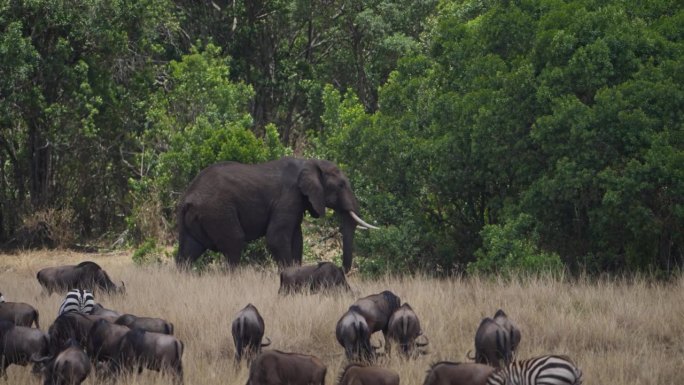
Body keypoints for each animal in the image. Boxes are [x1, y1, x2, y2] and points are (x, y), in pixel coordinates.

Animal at [174, 156, 376, 270]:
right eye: (341, 185)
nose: (342, 269)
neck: (310, 162)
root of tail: (187, 197)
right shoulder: (289, 196)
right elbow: (276, 238)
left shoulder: (298, 201)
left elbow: (297, 239)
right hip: (217, 211)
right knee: (234, 243)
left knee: (188, 252)